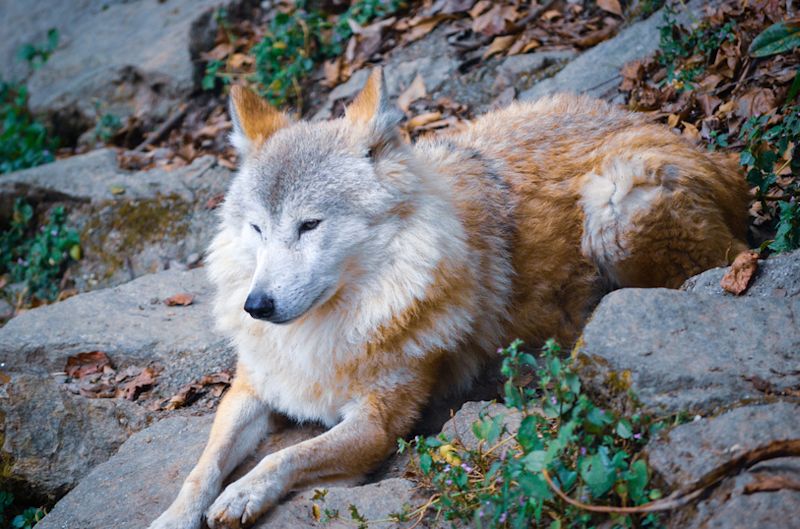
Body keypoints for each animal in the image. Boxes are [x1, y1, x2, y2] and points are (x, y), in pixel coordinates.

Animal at [148, 70, 752, 528]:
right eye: (257, 229)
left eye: (310, 225)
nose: (257, 306)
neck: (337, 327)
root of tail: (717, 157)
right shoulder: (252, 386)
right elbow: (203, 466)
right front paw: (176, 515)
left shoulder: (378, 427)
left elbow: (287, 456)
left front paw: (242, 493)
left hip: (615, 200)